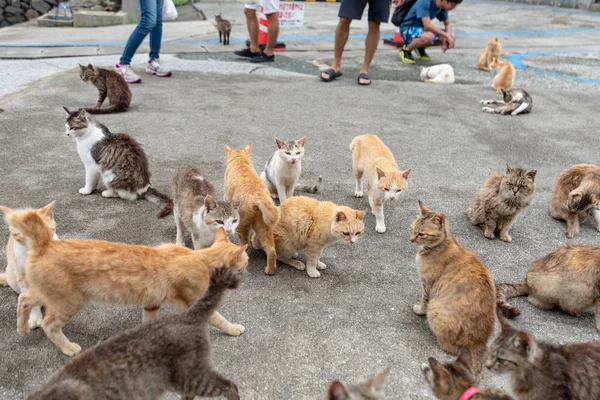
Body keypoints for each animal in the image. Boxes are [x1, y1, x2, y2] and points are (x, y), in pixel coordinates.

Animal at [224, 143, 280, 276]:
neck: (240, 159)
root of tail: (258, 197)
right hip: (263, 226)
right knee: (271, 250)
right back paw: (270, 270)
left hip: (242, 223)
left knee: (245, 244)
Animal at [410, 202, 494, 376]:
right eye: (412, 229)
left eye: (421, 234)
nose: (411, 239)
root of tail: (480, 342)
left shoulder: (427, 284)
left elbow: (423, 300)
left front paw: (419, 310)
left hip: (435, 309)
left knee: (450, 348)